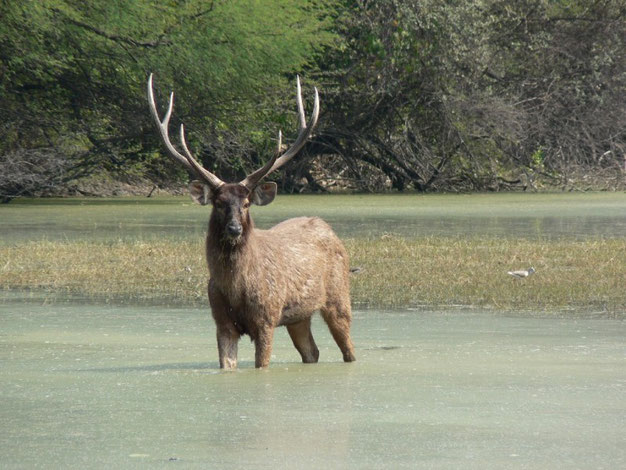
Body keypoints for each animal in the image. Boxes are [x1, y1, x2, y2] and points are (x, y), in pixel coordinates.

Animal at [144, 73, 354, 370]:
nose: (234, 228)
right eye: (219, 203)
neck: (236, 290)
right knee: (312, 352)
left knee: (348, 347)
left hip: (339, 296)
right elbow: (226, 363)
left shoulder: (267, 316)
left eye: (245, 204)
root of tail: (328, 229)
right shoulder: (221, 322)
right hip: (299, 315)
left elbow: (261, 364)